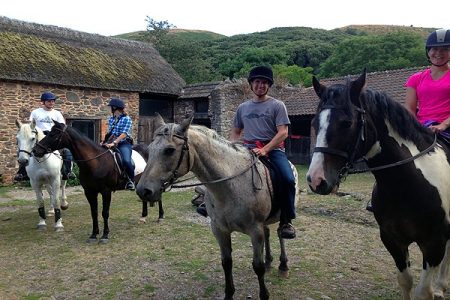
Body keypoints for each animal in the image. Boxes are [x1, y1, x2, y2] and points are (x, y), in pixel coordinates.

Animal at [32, 120, 163, 243]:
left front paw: (105, 235)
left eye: (54, 134)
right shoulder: (89, 192)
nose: (35, 150)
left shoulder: (106, 191)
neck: (96, 162)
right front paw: (94, 235)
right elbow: (94, 212)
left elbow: (105, 212)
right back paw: (143, 217)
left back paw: (160, 217)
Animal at [306, 71, 450, 298]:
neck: (403, 185)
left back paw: (440, 286)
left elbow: (422, 291)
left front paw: (434, 288)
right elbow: (405, 281)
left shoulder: (434, 243)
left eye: (346, 123)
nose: (316, 180)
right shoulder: (392, 239)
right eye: (314, 124)